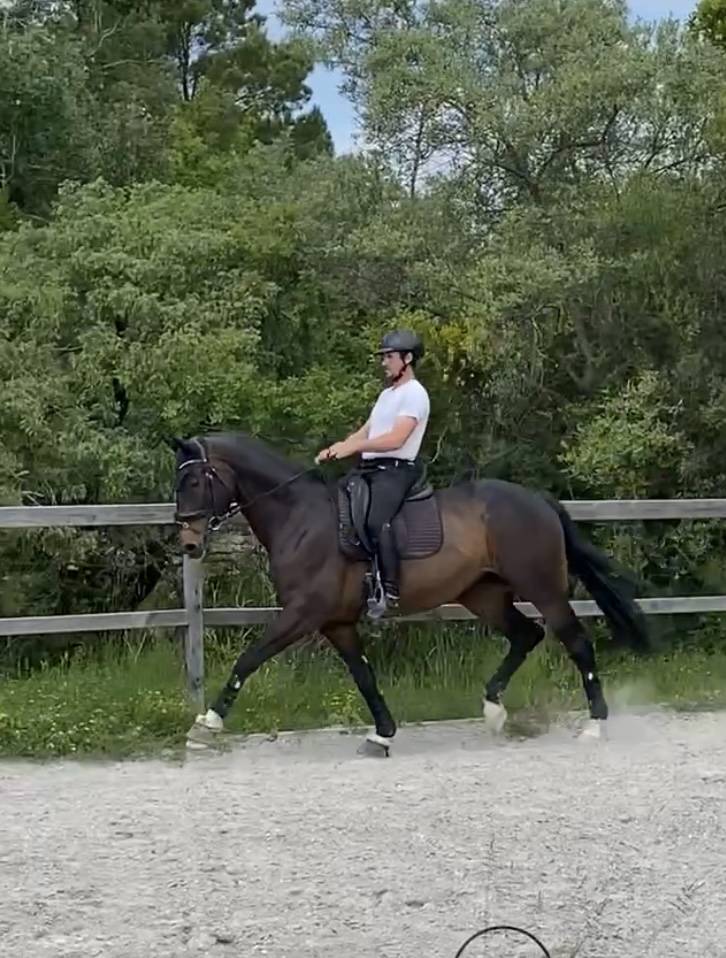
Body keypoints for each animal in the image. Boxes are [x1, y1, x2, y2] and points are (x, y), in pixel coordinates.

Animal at [170, 431, 649, 753]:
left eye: (193, 482)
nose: (189, 544)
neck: (301, 519)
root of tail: (538, 500)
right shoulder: (336, 622)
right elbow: (364, 676)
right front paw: (382, 734)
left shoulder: (303, 613)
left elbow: (249, 657)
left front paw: (206, 724)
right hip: (483, 594)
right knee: (525, 635)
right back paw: (493, 710)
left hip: (543, 588)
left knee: (576, 642)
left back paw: (595, 725)